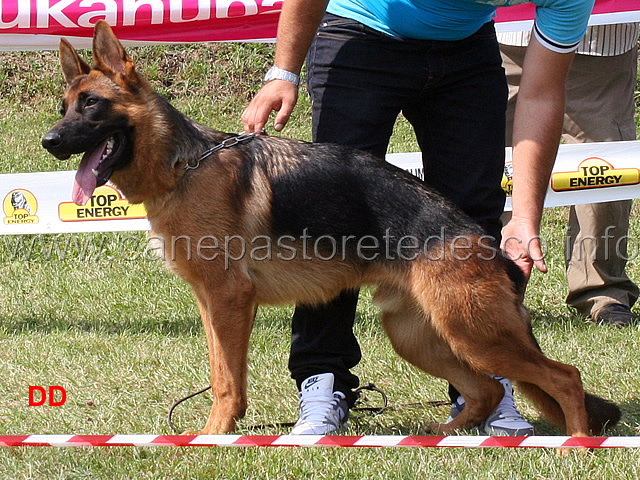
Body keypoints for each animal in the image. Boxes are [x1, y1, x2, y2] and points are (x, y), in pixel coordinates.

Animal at [41, 20, 620, 436]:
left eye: (91, 104)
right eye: (65, 107)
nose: (49, 141)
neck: (186, 164)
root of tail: (481, 240)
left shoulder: (229, 300)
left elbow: (227, 382)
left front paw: (213, 435)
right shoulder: (211, 304)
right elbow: (220, 373)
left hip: (472, 333)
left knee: (562, 377)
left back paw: (576, 442)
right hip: (420, 337)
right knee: (488, 390)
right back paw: (442, 435)